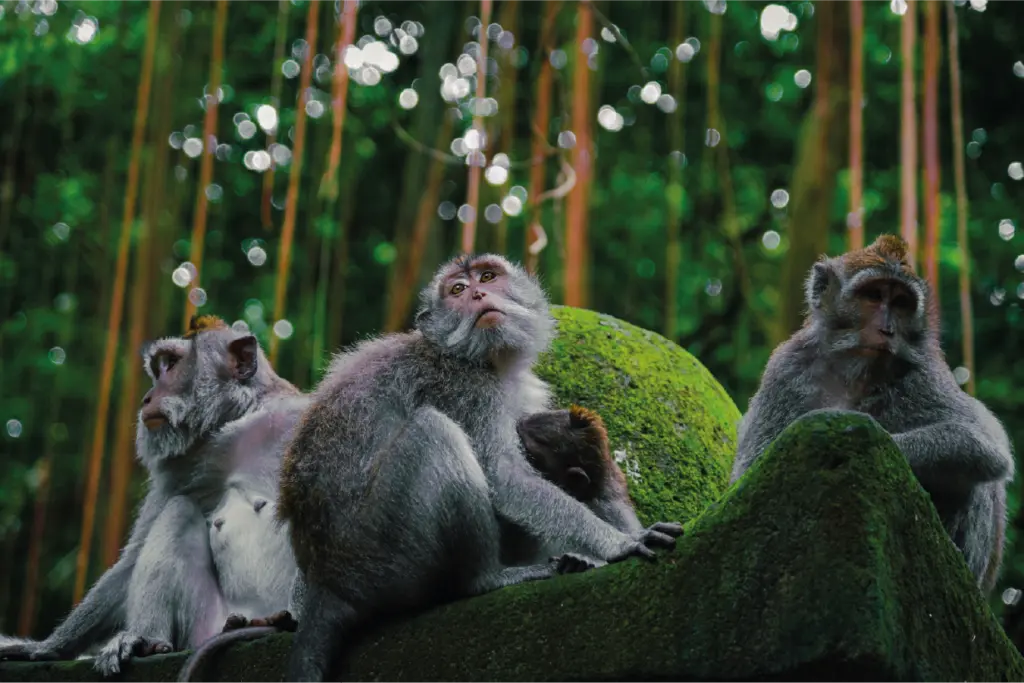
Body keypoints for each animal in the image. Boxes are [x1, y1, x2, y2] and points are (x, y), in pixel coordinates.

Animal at [0, 315, 308, 675]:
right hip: (207, 625)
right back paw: (145, 641)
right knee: (178, 512)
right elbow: (132, 559)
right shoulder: (183, 468)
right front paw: (47, 647)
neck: (240, 424)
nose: (146, 398)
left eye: (171, 364)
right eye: (157, 369)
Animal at [275, 253, 683, 683]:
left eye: (487, 276)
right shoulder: (468, 389)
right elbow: (504, 476)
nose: (476, 294)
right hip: (379, 553)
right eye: (457, 290)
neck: (483, 359)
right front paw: (618, 544)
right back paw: (487, 578)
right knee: (433, 432)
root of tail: (328, 581)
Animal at [730, 234, 1015, 593]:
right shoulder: (786, 369)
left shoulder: (925, 373)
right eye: (874, 295)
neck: (855, 371)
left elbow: (985, 445)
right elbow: (751, 474)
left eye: (901, 302)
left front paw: (856, 433)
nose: (888, 329)